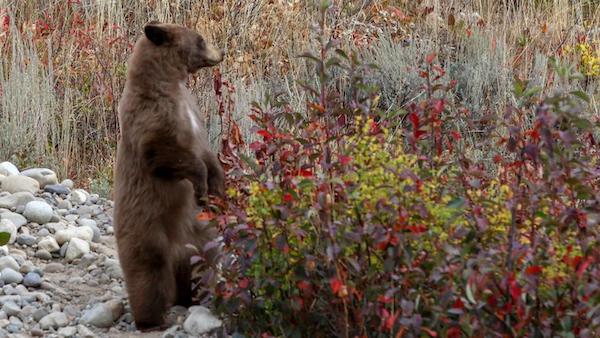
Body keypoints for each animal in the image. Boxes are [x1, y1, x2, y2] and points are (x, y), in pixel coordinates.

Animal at [112, 22, 225, 332]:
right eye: (201, 39)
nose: (221, 52)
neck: (169, 83)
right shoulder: (150, 114)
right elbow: (165, 152)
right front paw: (201, 186)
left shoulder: (193, 112)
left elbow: (208, 153)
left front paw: (218, 188)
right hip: (146, 228)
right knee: (148, 274)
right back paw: (151, 320)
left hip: (200, 237)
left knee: (203, 265)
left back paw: (198, 298)